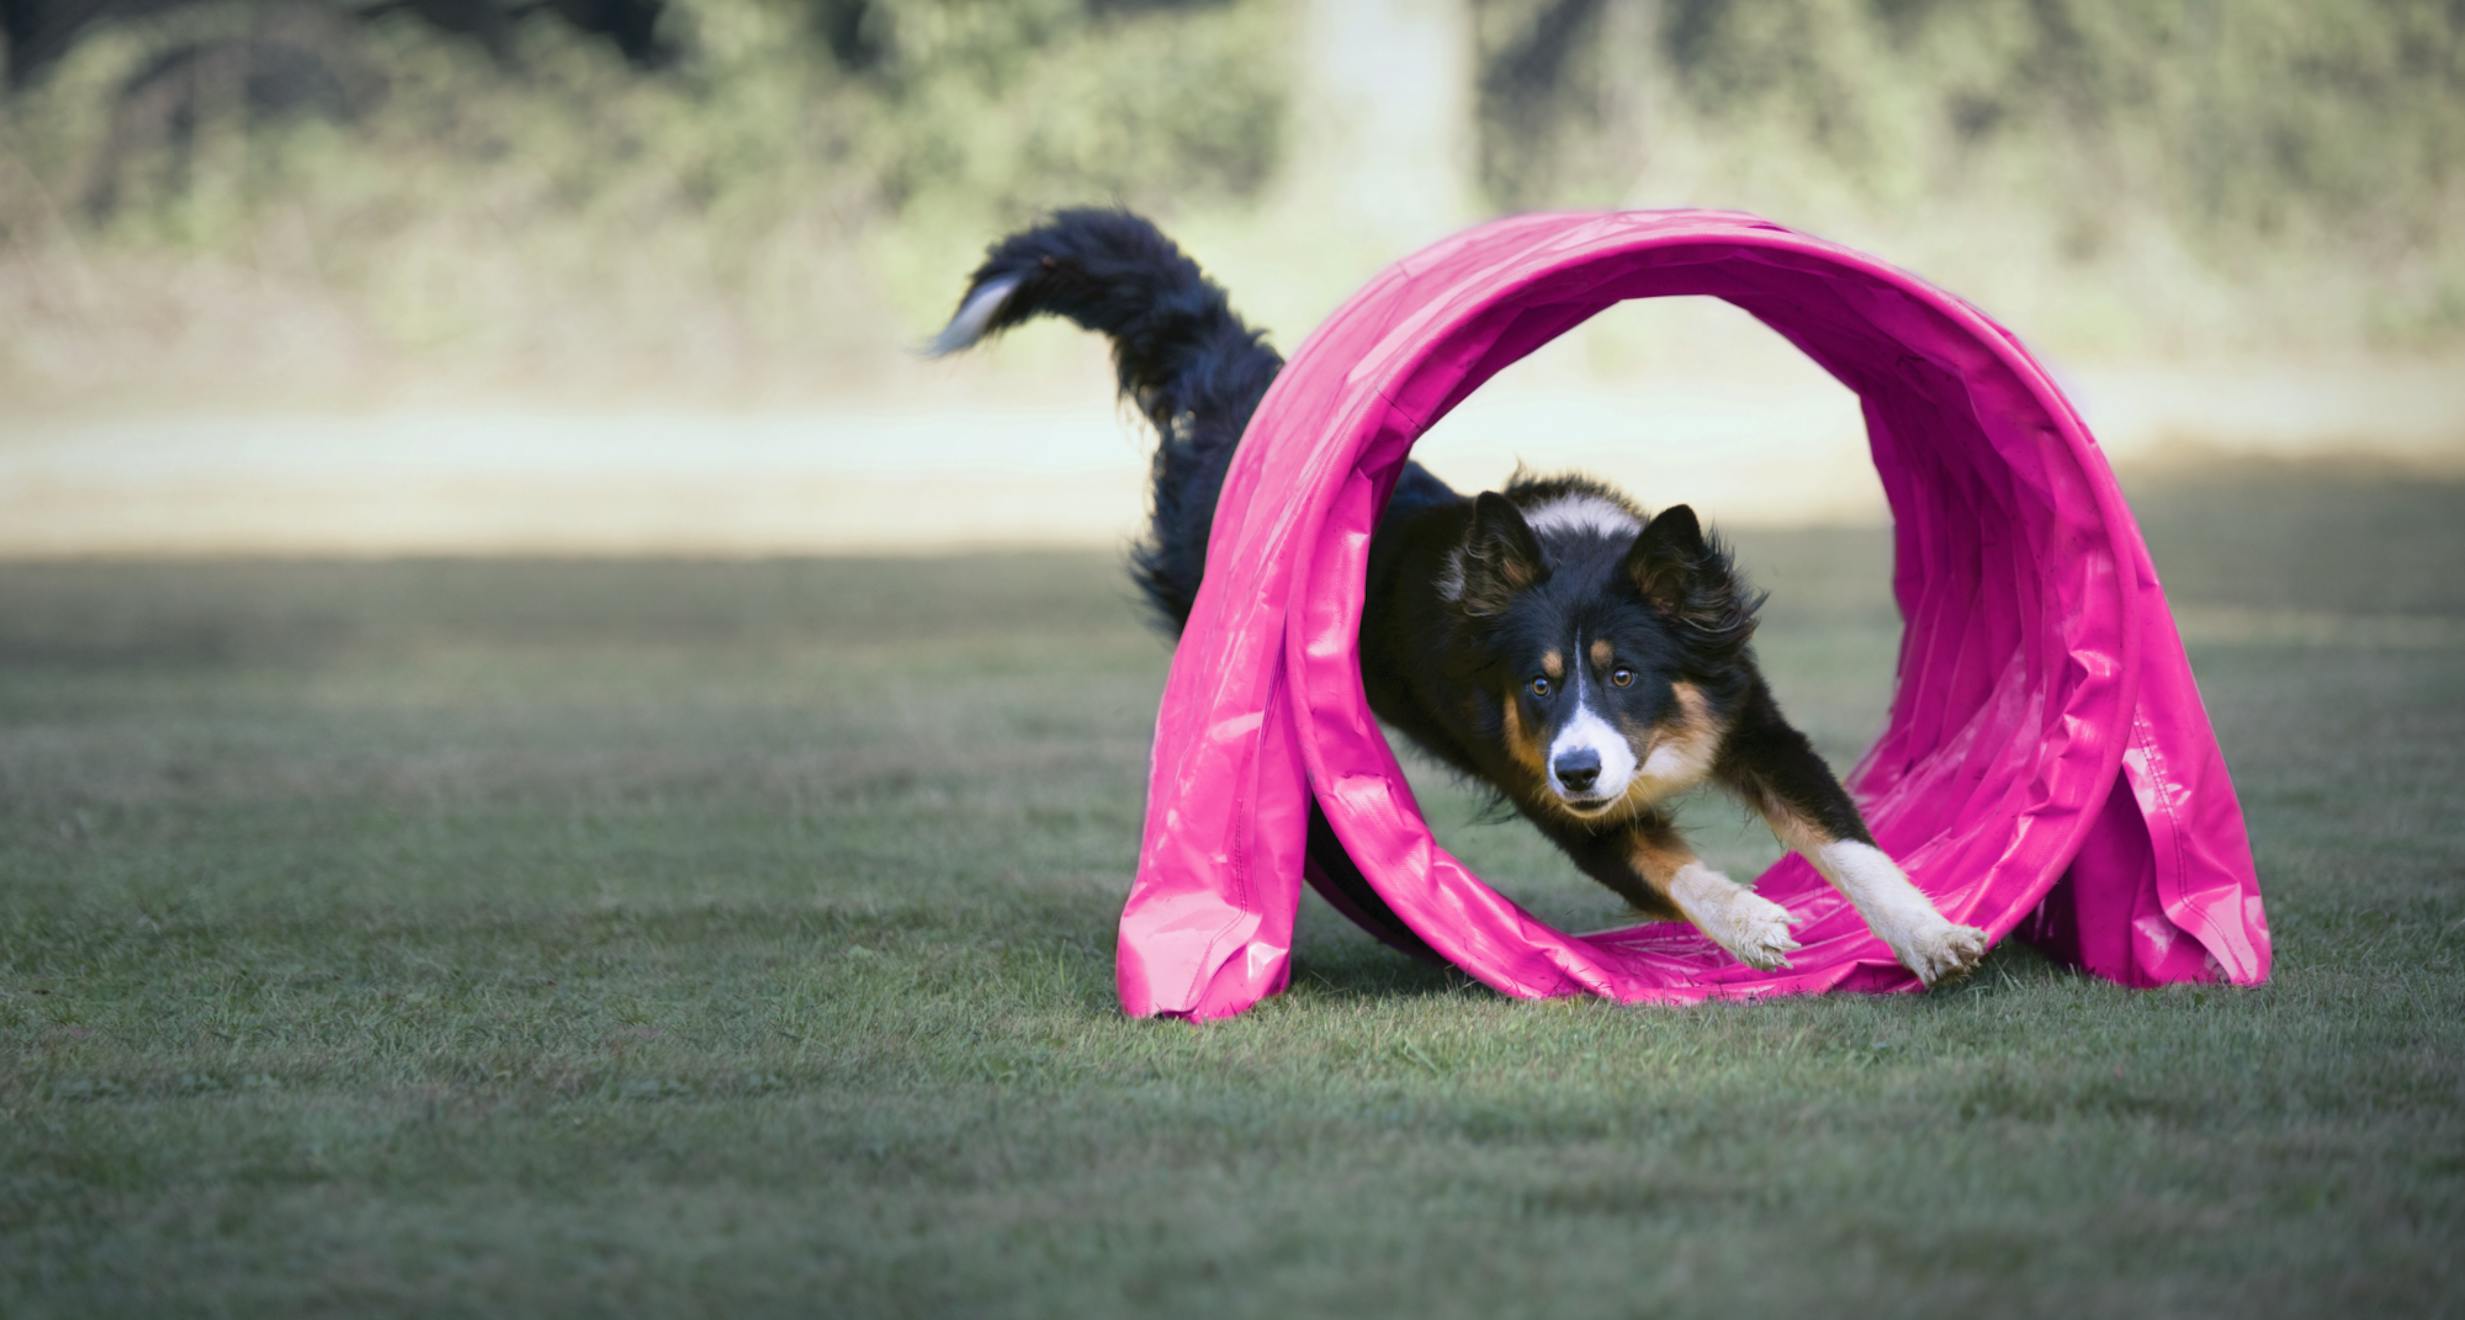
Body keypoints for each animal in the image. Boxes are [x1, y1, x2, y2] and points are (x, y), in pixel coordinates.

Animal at [931, 207, 1991, 986]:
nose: (1578, 768)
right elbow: (1670, 867)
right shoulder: (1549, 795)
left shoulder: (1751, 720)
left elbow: (1845, 840)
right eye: (1539, 685)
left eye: (1624, 674)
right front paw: (1755, 923)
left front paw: (1930, 936)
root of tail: (1238, 413)